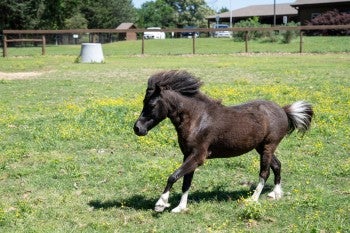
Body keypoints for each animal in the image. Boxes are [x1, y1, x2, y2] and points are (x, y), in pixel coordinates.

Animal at [133, 69, 312, 213]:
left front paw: (161, 204)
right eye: (143, 101)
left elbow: (173, 176)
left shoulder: (198, 156)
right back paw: (275, 194)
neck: (197, 118)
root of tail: (283, 110)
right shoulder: (187, 155)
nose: (137, 128)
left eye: (152, 104)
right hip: (261, 147)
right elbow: (186, 182)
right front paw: (180, 207)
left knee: (264, 172)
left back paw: (253, 199)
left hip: (268, 146)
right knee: (277, 165)